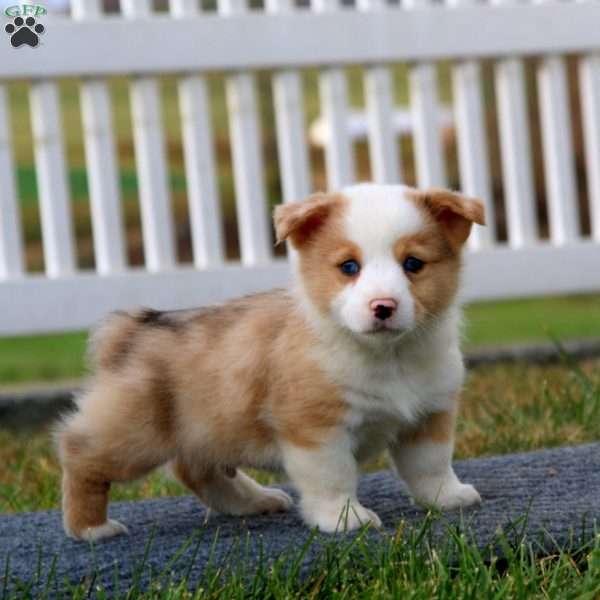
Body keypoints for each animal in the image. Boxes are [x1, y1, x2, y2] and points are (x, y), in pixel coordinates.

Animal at [56, 180, 486, 540]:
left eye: (413, 264)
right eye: (349, 267)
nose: (383, 306)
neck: (388, 356)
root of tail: (132, 330)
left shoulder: (429, 416)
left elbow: (431, 465)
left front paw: (447, 497)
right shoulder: (316, 430)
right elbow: (333, 479)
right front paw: (345, 519)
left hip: (205, 431)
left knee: (197, 471)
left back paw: (254, 501)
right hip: (135, 435)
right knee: (80, 455)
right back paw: (91, 527)